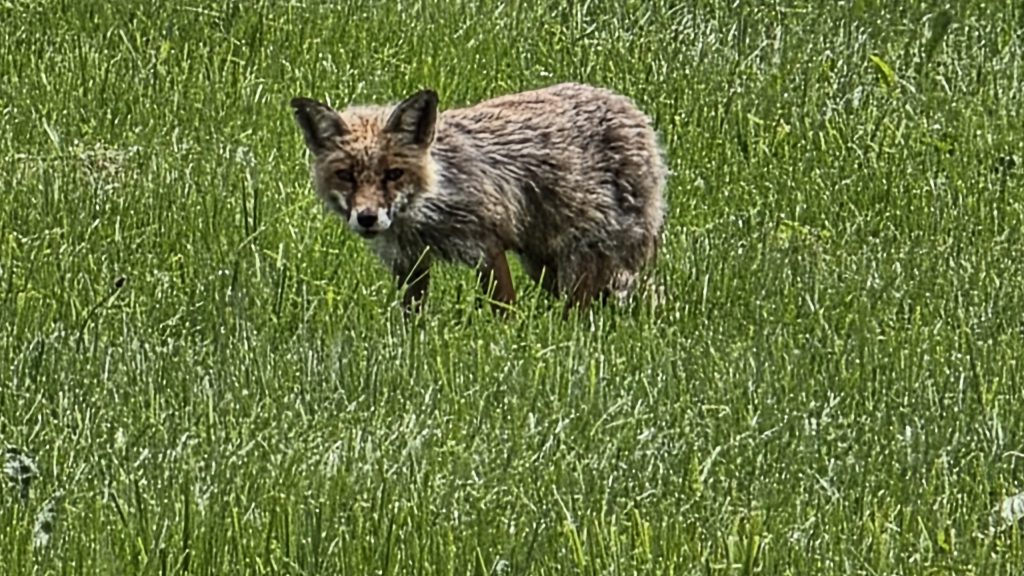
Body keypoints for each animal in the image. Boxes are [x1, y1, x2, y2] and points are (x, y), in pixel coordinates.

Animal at [290, 82, 668, 316]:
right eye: (346, 175)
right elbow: (411, 318)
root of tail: (637, 116)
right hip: (545, 268)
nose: (367, 218)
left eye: (393, 173)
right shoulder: (410, 263)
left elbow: (505, 311)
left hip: (581, 262)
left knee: (584, 314)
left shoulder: (485, 244)